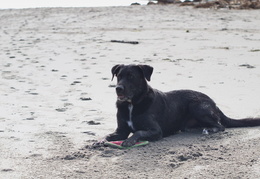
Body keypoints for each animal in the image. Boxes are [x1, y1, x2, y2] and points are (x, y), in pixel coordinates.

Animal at [95, 64, 260, 147]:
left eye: (131, 76)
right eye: (119, 76)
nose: (118, 88)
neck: (132, 104)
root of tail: (213, 102)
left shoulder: (156, 130)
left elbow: (139, 132)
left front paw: (130, 141)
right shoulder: (121, 130)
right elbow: (109, 135)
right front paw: (100, 140)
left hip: (197, 106)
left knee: (220, 125)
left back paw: (209, 129)